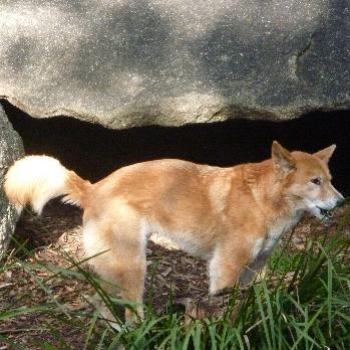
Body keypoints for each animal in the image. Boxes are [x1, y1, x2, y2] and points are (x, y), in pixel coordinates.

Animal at [4, 142, 344, 320]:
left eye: (329, 179)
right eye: (315, 182)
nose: (342, 201)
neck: (263, 200)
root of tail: (93, 188)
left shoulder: (252, 271)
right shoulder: (225, 269)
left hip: (116, 267)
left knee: (102, 302)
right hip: (133, 266)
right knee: (130, 311)